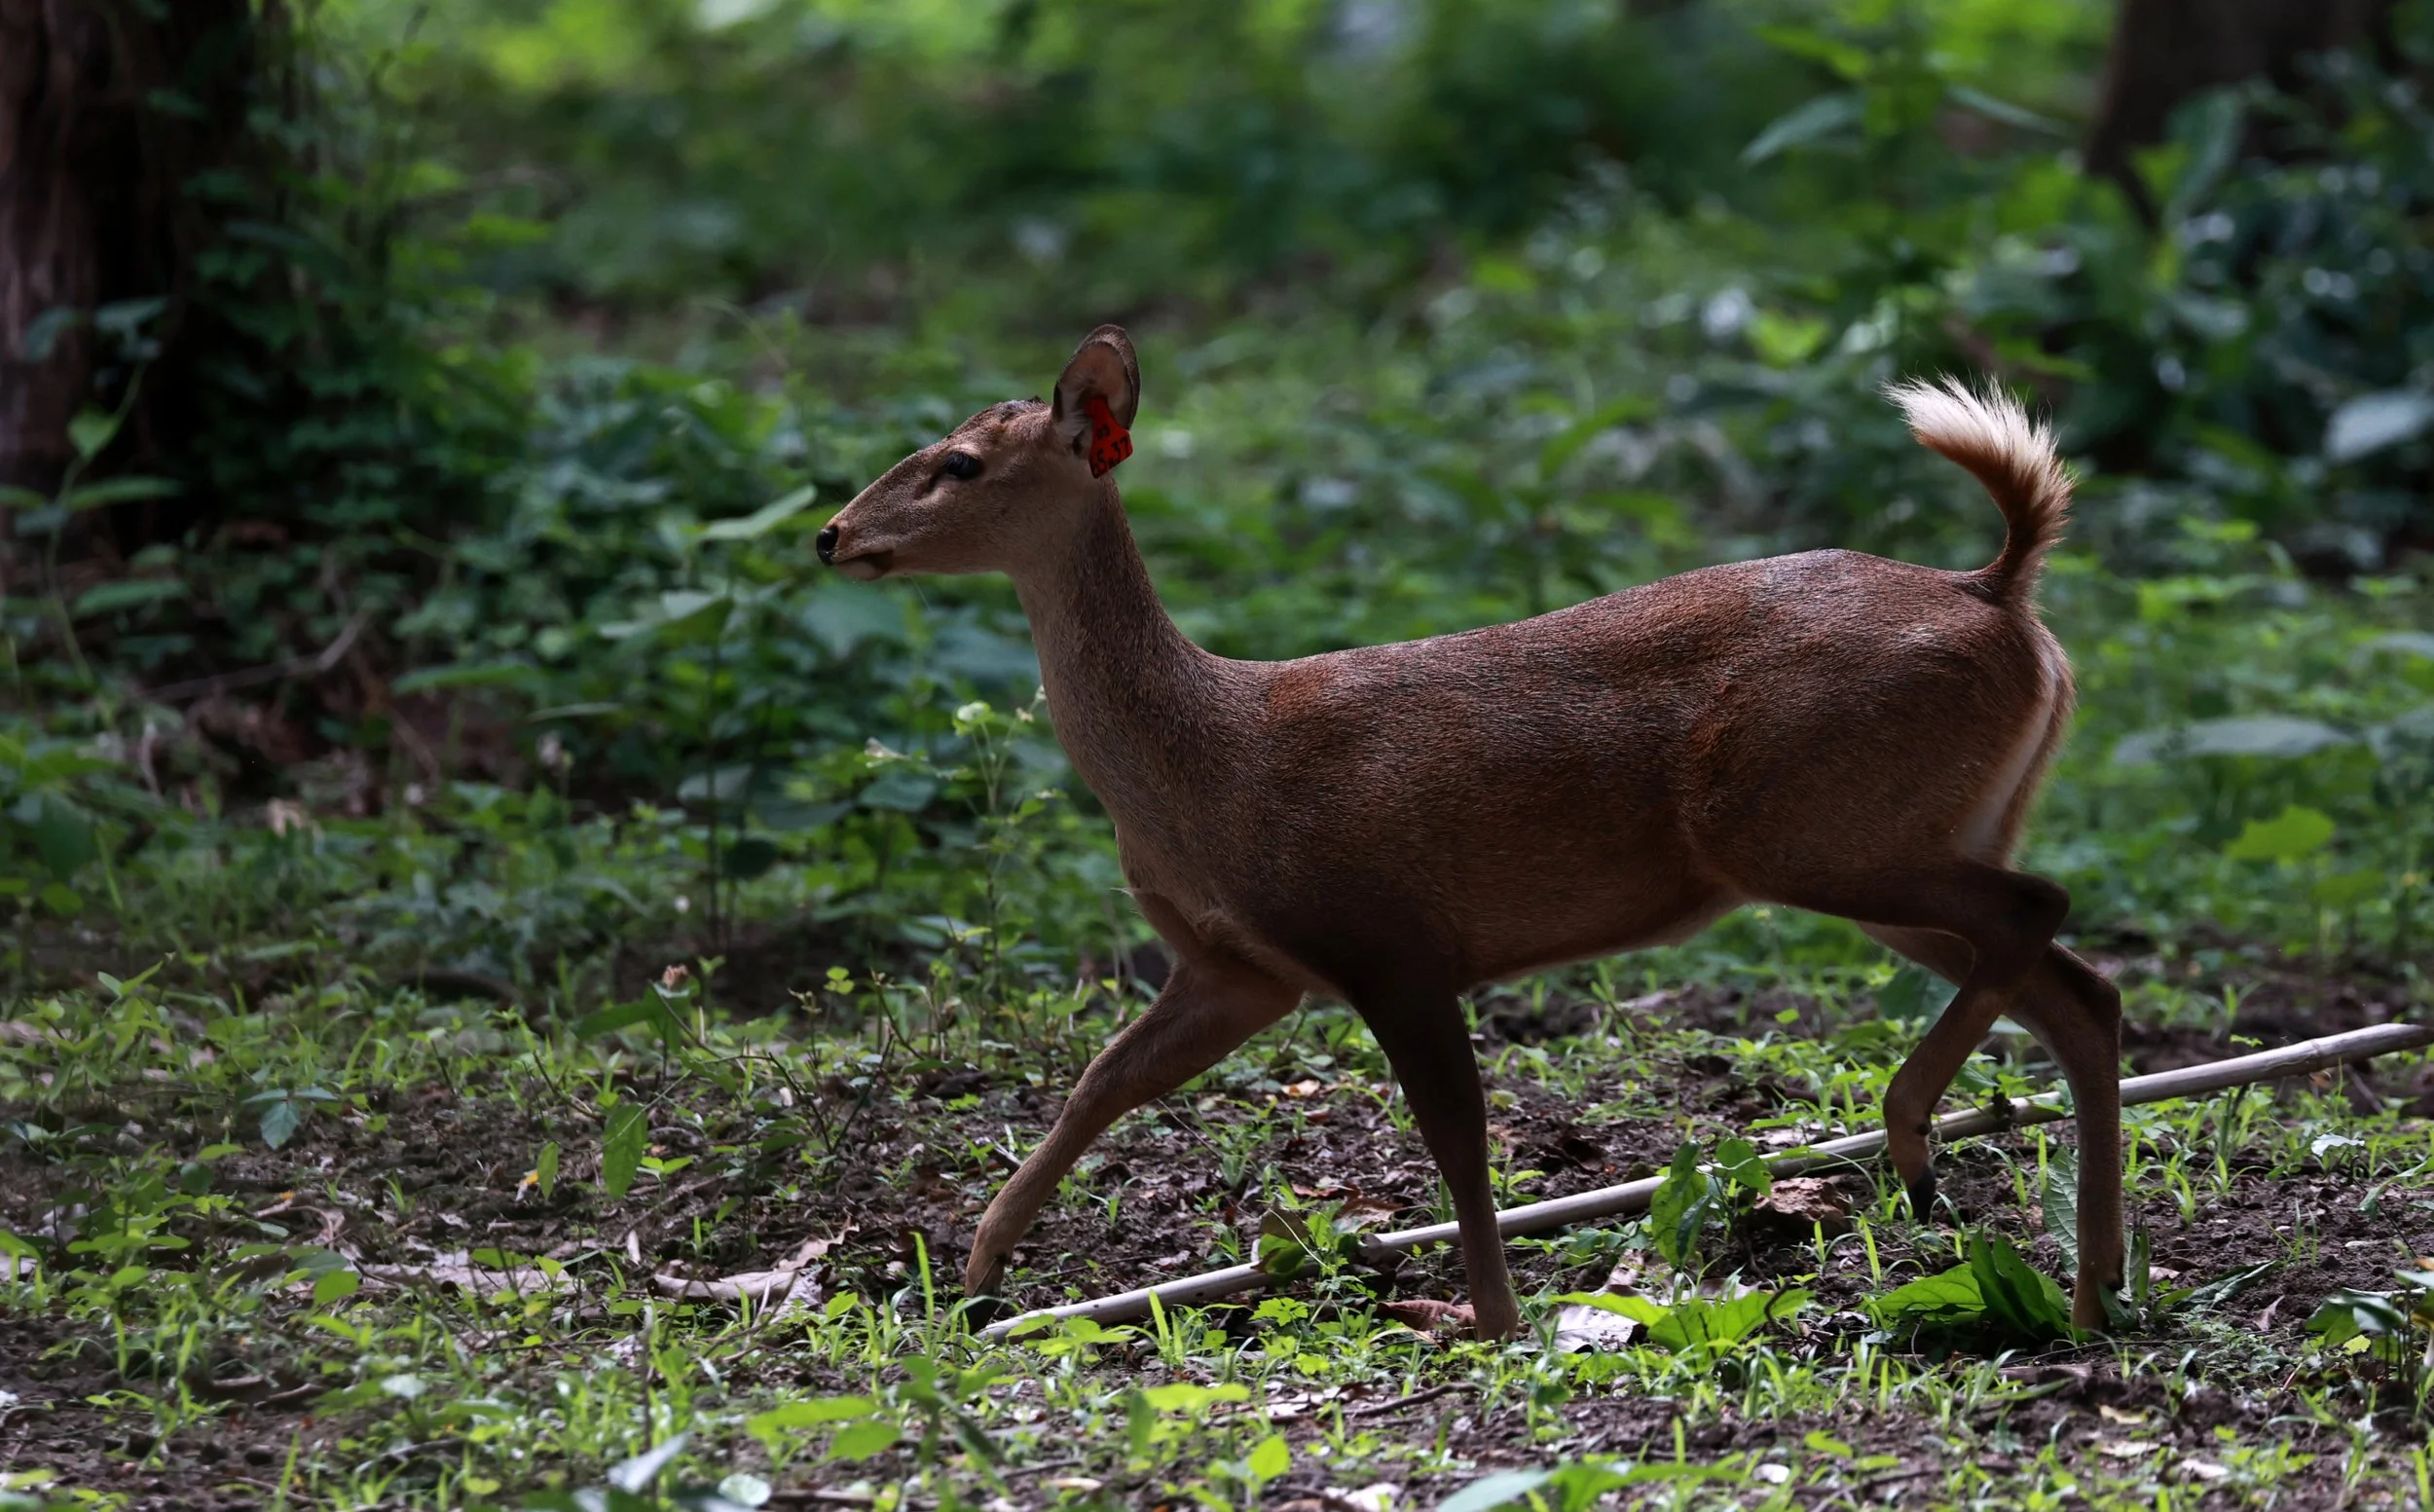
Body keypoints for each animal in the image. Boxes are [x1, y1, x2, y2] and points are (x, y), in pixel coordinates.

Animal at [815, 325, 2123, 1339]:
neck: (1208, 763)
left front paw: (1484, 1313)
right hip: (1894, 839)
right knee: (2078, 985)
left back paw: (1917, 1141)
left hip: (1811, 828)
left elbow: (1454, 1129)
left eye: (958, 463)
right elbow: (1102, 1079)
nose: (830, 534)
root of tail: (1995, 593)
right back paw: (2089, 1283)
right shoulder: (1242, 968)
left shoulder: (1384, 934)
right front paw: (973, 1269)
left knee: (2042, 913)